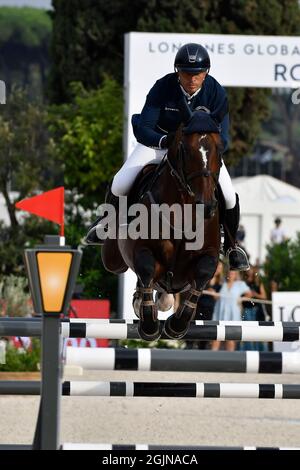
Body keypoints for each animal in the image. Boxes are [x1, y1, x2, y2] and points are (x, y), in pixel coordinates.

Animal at [101, 110, 223, 342]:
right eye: (185, 149)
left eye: (220, 150)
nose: (206, 206)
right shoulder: (140, 250)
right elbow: (147, 268)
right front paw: (149, 325)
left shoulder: (209, 254)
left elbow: (203, 274)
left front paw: (177, 325)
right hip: (113, 260)